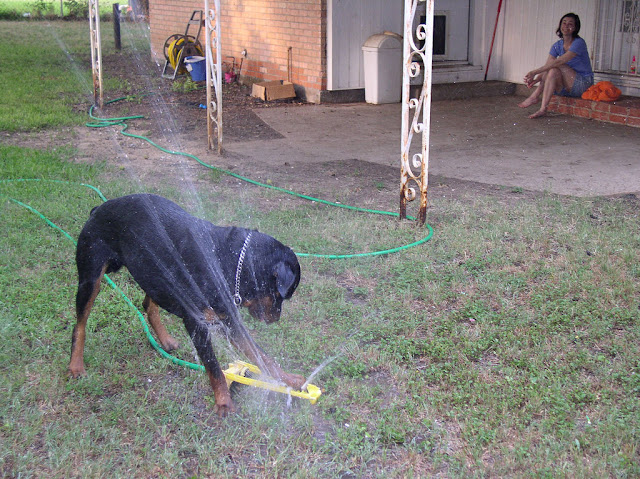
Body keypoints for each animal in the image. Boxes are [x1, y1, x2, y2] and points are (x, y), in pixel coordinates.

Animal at [69, 194, 304, 416]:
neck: (224, 260)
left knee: (147, 304)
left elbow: (261, 356)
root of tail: (98, 208)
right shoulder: (197, 322)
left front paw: (288, 379)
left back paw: (165, 341)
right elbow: (214, 368)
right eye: (280, 295)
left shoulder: (229, 322)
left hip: (155, 272)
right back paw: (76, 366)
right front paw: (224, 402)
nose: (276, 318)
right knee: (80, 324)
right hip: (92, 277)